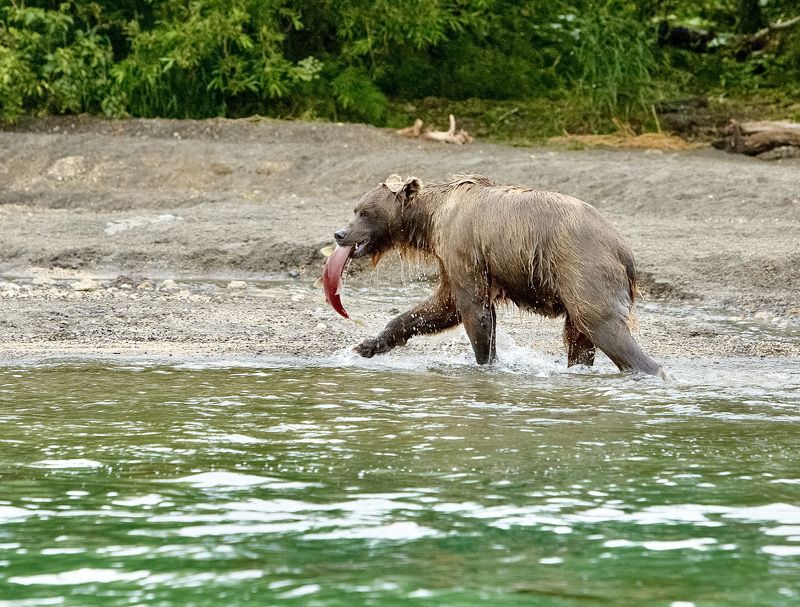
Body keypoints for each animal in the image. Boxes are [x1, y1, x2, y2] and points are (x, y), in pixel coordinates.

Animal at [332, 174, 664, 377]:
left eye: (364, 212)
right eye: (356, 209)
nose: (340, 234)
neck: (431, 219)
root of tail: (625, 251)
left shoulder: (464, 247)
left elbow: (473, 310)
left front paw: (485, 364)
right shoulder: (451, 258)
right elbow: (441, 307)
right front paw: (368, 345)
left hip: (584, 270)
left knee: (604, 326)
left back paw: (650, 371)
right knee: (579, 340)